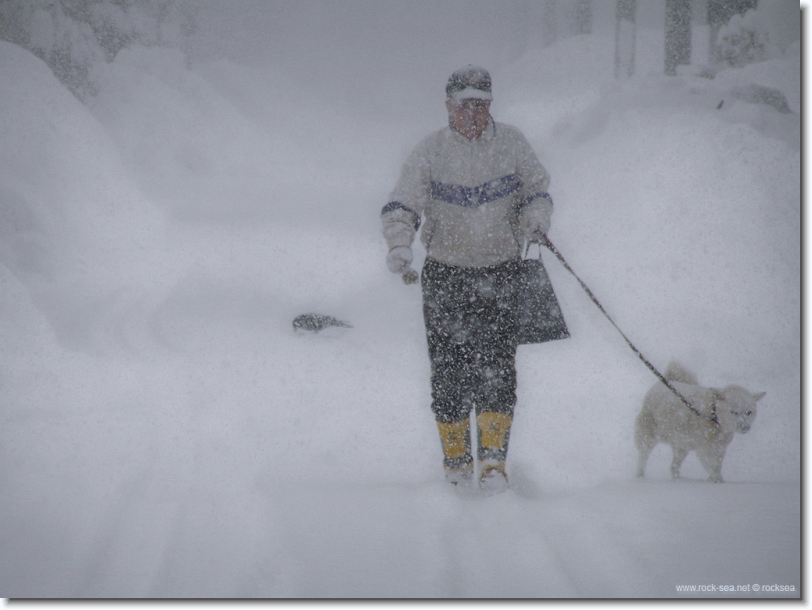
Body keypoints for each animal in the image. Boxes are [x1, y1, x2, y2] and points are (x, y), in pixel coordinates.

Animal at [636, 358, 764, 482]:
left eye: (749, 412)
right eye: (733, 412)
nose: (744, 427)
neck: (713, 416)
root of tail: (669, 380)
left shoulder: (720, 449)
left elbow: (717, 465)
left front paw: (714, 478)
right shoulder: (704, 449)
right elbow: (711, 466)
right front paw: (717, 480)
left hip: (682, 445)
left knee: (674, 466)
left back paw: (680, 480)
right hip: (647, 435)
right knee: (643, 457)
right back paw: (640, 477)